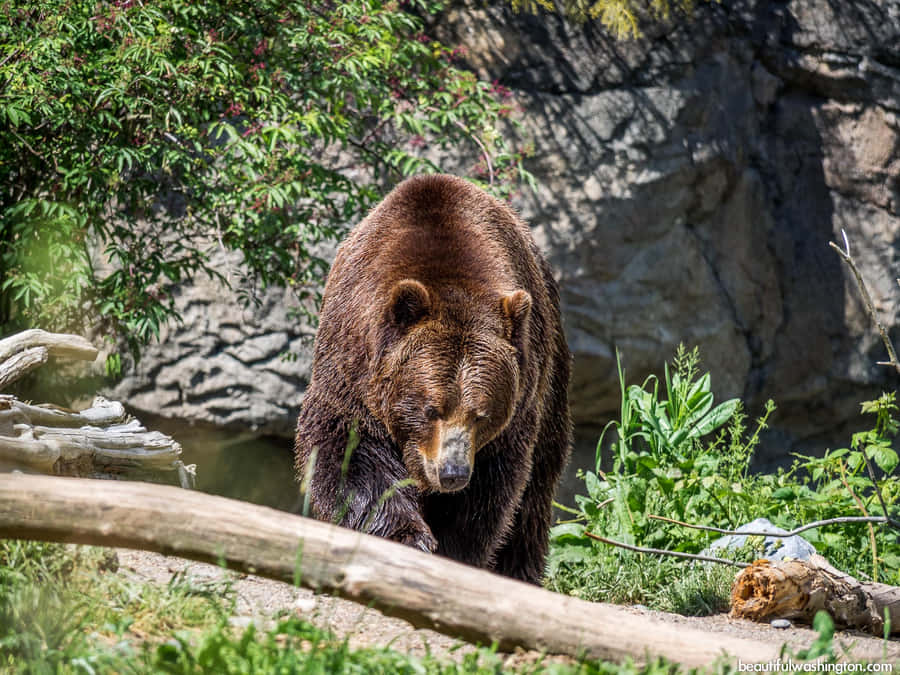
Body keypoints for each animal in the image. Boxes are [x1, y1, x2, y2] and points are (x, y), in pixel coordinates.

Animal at [294, 174, 571, 584]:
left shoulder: (512, 415)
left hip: (550, 376)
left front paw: (451, 551)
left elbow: (486, 497)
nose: (452, 472)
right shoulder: (353, 371)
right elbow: (351, 456)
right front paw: (406, 536)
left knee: (535, 490)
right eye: (430, 409)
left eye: (481, 415)